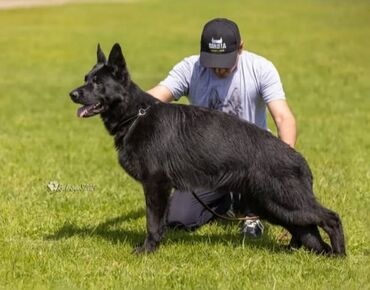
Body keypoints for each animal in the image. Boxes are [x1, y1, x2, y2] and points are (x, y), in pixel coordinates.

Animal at [68, 43, 346, 256]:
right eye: (86, 79)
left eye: (97, 83)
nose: (72, 94)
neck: (135, 115)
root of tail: (299, 160)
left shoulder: (156, 186)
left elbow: (152, 223)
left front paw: (147, 250)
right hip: (273, 205)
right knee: (306, 230)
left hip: (283, 202)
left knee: (331, 218)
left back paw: (339, 255)